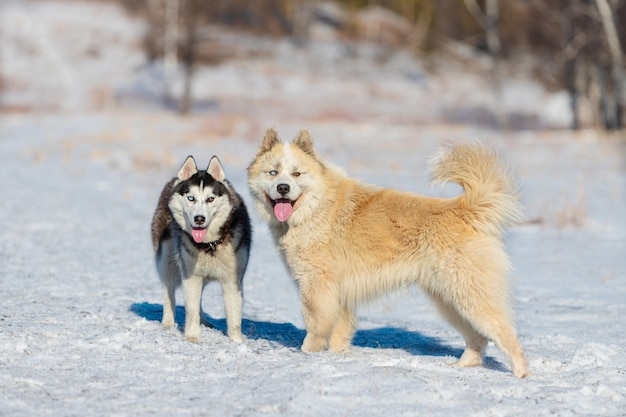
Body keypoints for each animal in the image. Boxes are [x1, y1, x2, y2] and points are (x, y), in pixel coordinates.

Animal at [246, 127, 528, 376]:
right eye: (273, 173)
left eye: (296, 174)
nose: (283, 188)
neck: (315, 208)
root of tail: (463, 209)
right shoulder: (341, 293)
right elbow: (339, 331)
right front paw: (337, 356)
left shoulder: (317, 286)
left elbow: (316, 325)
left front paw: (308, 353)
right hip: (449, 301)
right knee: (478, 338)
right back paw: (462, 366)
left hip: (470, 296)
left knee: (506, 334)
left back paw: (521, 374)